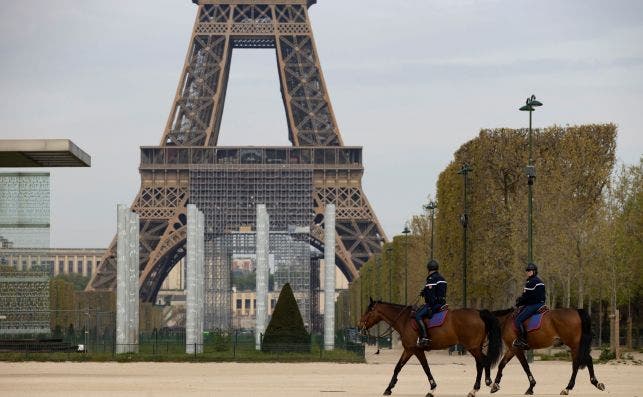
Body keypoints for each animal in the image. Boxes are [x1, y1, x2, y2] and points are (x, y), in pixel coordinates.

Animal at [358, 296, 504, 396]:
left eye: (368, 311)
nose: (359, 326)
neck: (405, 320)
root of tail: (478, 312)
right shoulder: (409, 350)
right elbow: (398, 367)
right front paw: (389, 388)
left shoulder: (415, 350)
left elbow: (425, 368)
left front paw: (432, 388)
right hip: (475, 347)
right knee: (480, 363)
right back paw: (476, 388)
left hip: (472, 347)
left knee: (484, 361)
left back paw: (488, 383)